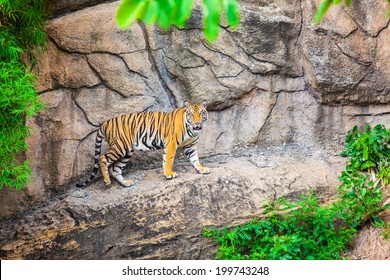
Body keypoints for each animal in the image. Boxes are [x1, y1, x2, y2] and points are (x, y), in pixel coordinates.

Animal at [76, 101, 210, 188]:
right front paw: (169, 174)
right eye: (191, 114)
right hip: (120, 146)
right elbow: (168, 159)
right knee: (102, 158)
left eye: (201, 113)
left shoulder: (190, 145)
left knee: (115, 169)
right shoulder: (171, 143)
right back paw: (107, 181)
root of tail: (105, 123)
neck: (192, 130)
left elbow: (195, 158)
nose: (197, 123)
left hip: (127, 151)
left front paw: (201, 169)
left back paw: (126, 183)